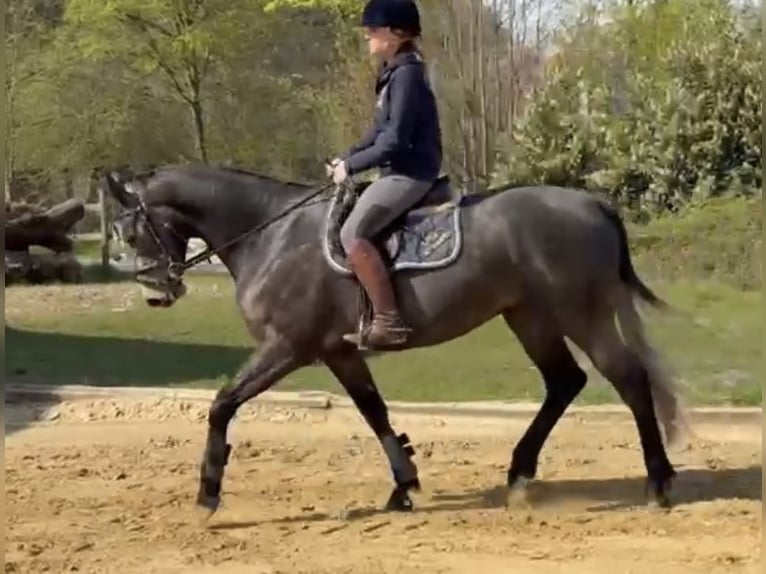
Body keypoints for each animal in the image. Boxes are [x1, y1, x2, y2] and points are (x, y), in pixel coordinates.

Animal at [103, 163, 687, 515]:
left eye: (131, 230)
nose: (156, 293)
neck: (271, 235)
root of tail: (593, 205)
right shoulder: (338, 351)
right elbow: (374, 411)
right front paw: (404, 484)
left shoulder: (286, 347)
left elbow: (222, 404)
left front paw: (208, 491)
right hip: (530, 317)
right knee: (565, 382)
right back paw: (520, 474)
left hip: (578, 314)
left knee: (629, 379)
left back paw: (658, 483)